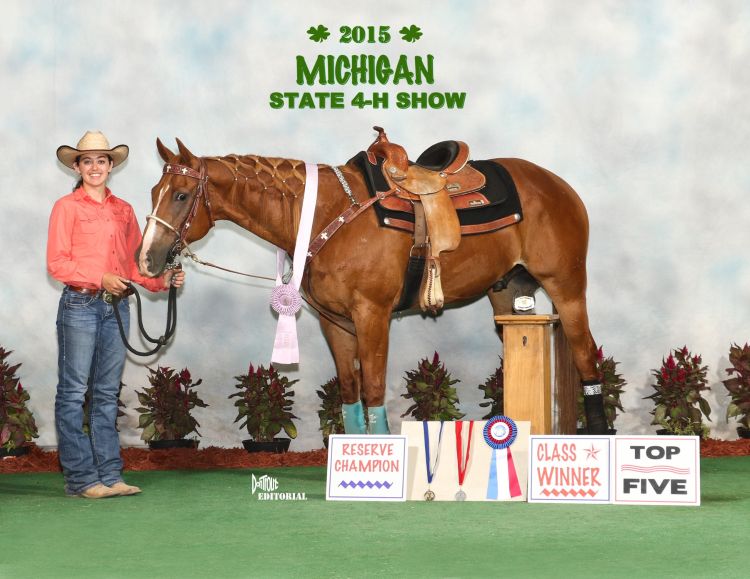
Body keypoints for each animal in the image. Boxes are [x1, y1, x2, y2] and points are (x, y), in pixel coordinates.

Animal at [137, 137, 612, 436]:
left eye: (181, 196)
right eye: (153, 190)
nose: (146, 259)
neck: (329, 214)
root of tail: (560, 188)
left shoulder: (373, 315)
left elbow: (374, 387)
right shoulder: (334, 322)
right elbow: (350, 389)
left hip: (568, 289)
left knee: (586, 357)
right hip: (509, 296)